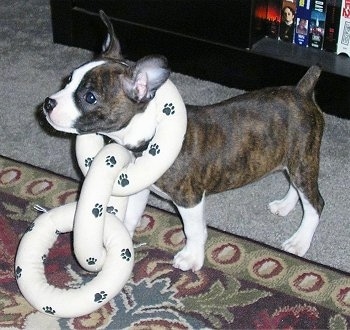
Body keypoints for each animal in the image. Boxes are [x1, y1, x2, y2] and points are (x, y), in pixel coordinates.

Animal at [43, 11, 326, 272]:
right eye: (68, 80)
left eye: (90, 97)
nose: (48, 103)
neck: (149, 134)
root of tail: (302, 92)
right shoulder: (140, 187)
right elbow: (131, 216)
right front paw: (121, 240)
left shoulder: (189, 199)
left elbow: (194, 231)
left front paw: (191, 258)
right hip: (294, 158)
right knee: (296, 185)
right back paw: (286, 205)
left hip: (304, 157)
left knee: (315, 203)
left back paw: (299, 241)